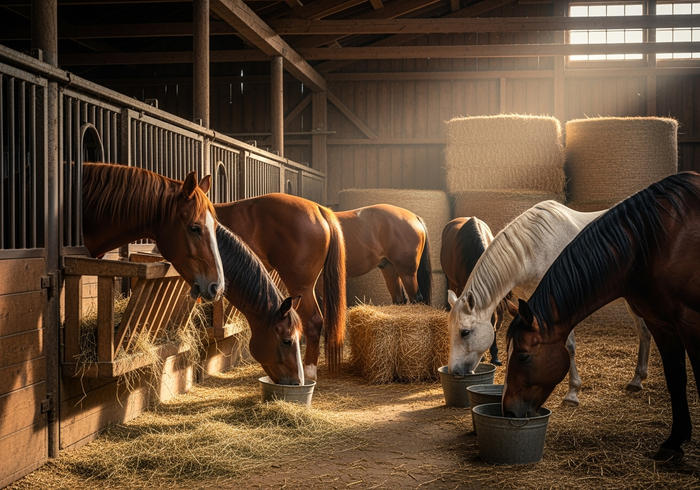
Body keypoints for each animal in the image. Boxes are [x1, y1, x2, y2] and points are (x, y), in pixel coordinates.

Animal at [447, 200, 652, 406]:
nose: (454, 371)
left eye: (465, 332)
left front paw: (572, 393)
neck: (533, 251)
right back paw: (637, 379)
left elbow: (569, 346)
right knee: (643, 331)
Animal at [503, 172, 700, 461]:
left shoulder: (690, 323)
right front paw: (673, 442)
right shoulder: (662, 324)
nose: (508, 411)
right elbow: (676, 379)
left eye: (523, 356)